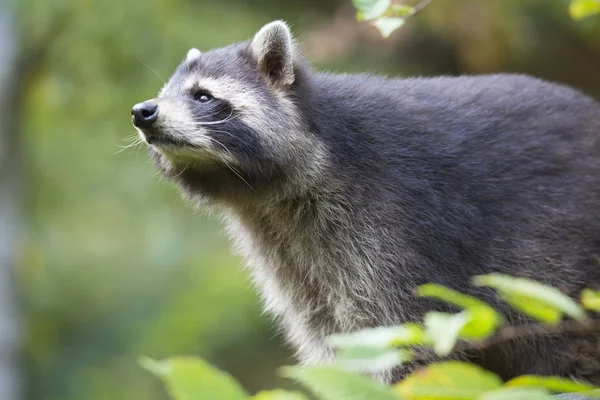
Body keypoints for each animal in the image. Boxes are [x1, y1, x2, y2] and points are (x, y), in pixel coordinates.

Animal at [132, 20, 600, 382]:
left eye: (203, 96)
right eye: (165, 91)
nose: (143, 111)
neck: (263, 192)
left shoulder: (391, 223)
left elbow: (401, 334)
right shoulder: (283, 251)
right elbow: (326, 333)